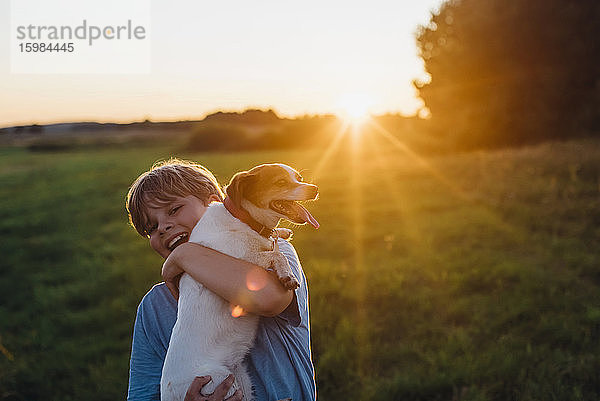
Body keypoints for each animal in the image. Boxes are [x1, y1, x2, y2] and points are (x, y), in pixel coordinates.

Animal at [159, 163, 318, 400]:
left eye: (298, 177)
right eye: (280, 182)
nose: (314, 189)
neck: (243, 219)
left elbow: (274, 243)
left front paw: (282, 232)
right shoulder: (244, 261)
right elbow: (276, 253)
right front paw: (287, 274)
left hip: (241, 379)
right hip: (219, 381)